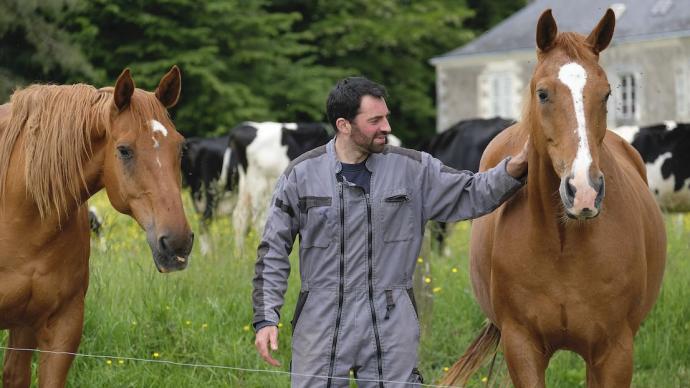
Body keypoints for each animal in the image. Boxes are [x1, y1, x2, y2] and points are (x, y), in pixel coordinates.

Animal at [444, 9, 664, 388]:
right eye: (543, 93)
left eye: (607, 94)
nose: (584, 191)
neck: (563, 245)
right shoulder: (522, 348)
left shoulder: (615, 352)